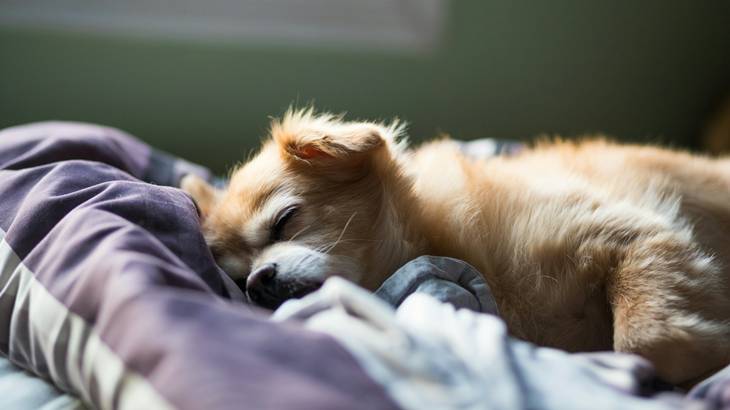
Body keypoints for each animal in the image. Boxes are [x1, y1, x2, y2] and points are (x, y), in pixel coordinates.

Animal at [181, 108, 728, 384]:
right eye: (236, 277)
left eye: (285, 220)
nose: (257, 282)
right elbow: (643, 344)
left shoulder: (638, 235)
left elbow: (644, 340)